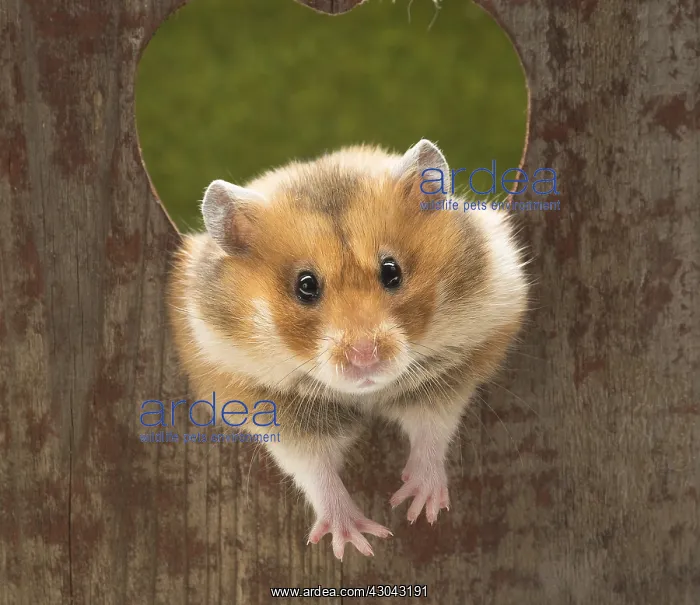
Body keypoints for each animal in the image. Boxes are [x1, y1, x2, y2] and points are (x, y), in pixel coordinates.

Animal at [168, 140, 528, 560]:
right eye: (305, 285)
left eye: (392, 271)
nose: (365, 357)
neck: (366, 395)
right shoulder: (274, 411)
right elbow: (315, 471)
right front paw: (358, 543)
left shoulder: (446, 377)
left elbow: (432, 431)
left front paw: (417, 510)